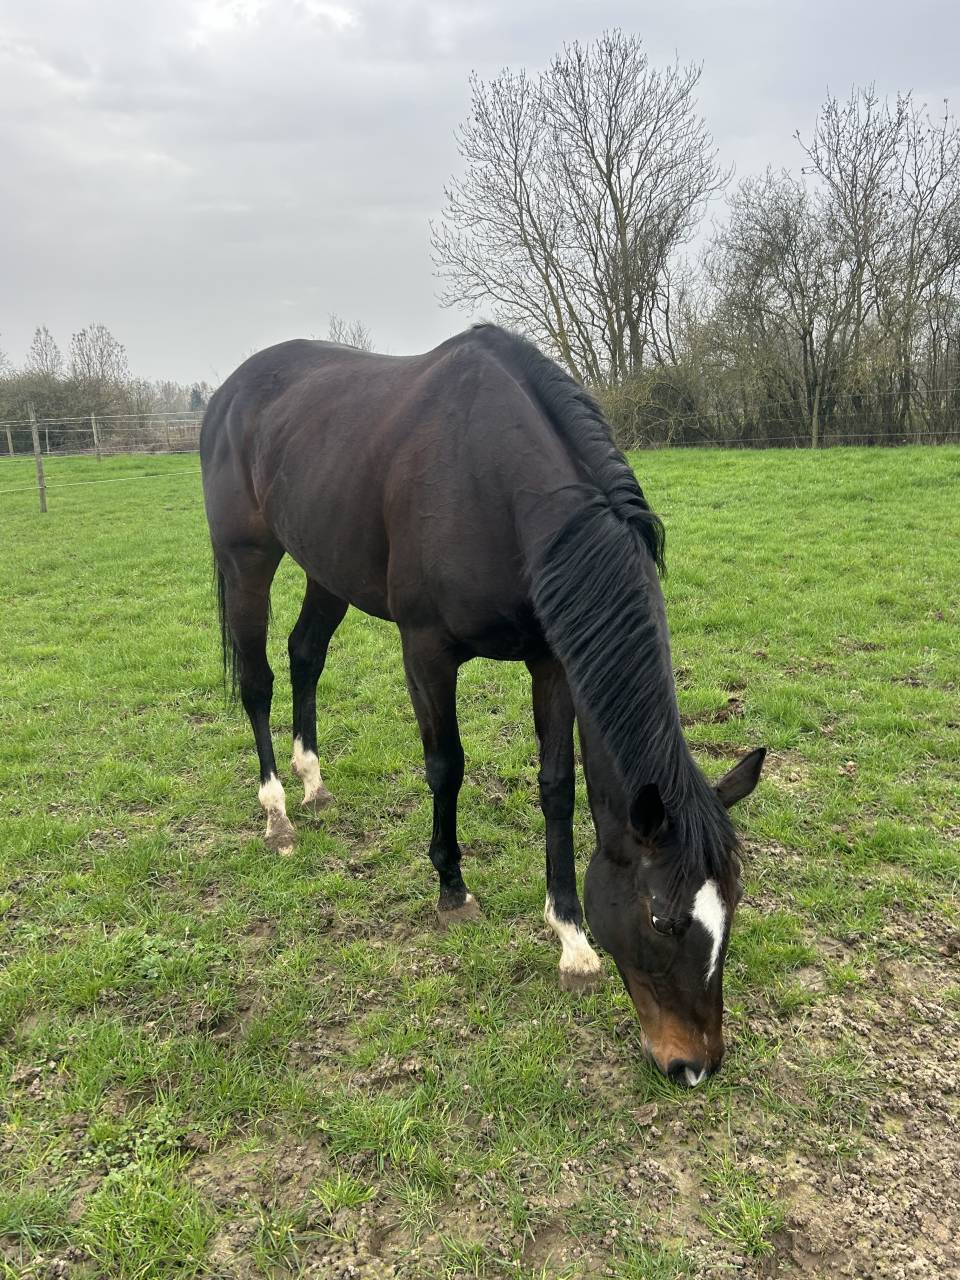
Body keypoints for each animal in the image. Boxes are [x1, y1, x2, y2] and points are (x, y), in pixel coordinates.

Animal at [200, 324, 765, 1086]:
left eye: (731, 907)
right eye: (661, 919)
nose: (695, 1066)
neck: (492, 482)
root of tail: (232, 388)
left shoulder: (553, 659)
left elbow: (556, 786)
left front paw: (571, 938)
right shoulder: (427, 650)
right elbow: (447, 766)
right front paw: (452, 890)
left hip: (327, 566)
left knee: (304, 655)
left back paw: (313, 780)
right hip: (247, 559)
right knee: (258, 679)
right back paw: (278, 813)